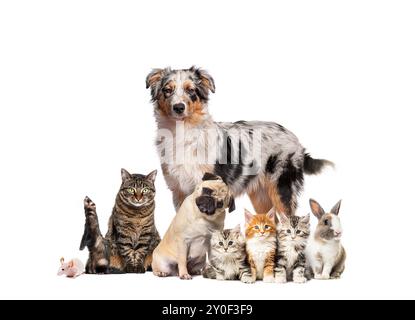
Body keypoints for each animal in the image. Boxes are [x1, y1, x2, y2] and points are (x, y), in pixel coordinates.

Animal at [147, 67, 334, 218]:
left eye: (191, 90)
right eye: (167, 90)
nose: (178, 107)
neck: (183, 133)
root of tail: (295, 138)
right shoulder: (179, 192)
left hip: (282, 190)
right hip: (261, 197)